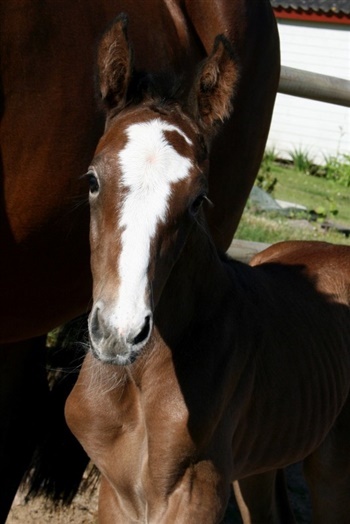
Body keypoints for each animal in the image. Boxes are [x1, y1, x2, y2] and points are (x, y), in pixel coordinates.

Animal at [65, 18, 350, 520]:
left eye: (197, 200)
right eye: (93, 180)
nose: (120, 333)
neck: (137, 380)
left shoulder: (196, 490)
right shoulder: (116, 491)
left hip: (333, 467)